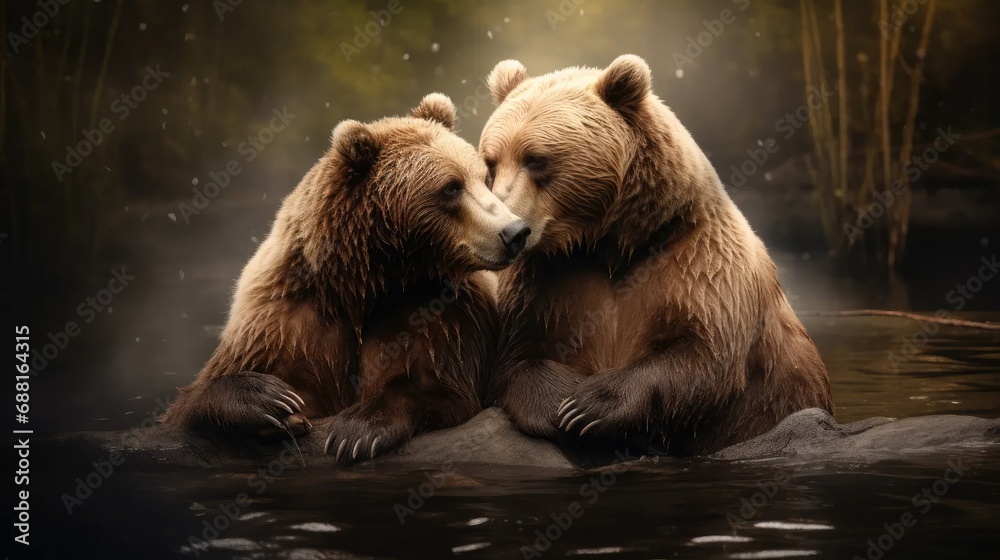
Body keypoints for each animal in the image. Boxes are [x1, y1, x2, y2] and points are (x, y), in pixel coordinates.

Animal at [161, 93, 531, 464]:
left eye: (482, 178)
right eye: (451, 187)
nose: (514, 232)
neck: (370, 278)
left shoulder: (441, 312)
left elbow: (442, 388)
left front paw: (357, 430)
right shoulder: (285, 317)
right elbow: (192, 401)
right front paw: (273, 401)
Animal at [479, 55, 833, 456]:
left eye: (536, 159)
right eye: (491, 163)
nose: (510, 228)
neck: (609, 245)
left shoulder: (700, 263)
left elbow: (702, 353)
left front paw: (587, 406)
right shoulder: (544, 281)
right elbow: (516, 355)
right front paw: (562, 405)